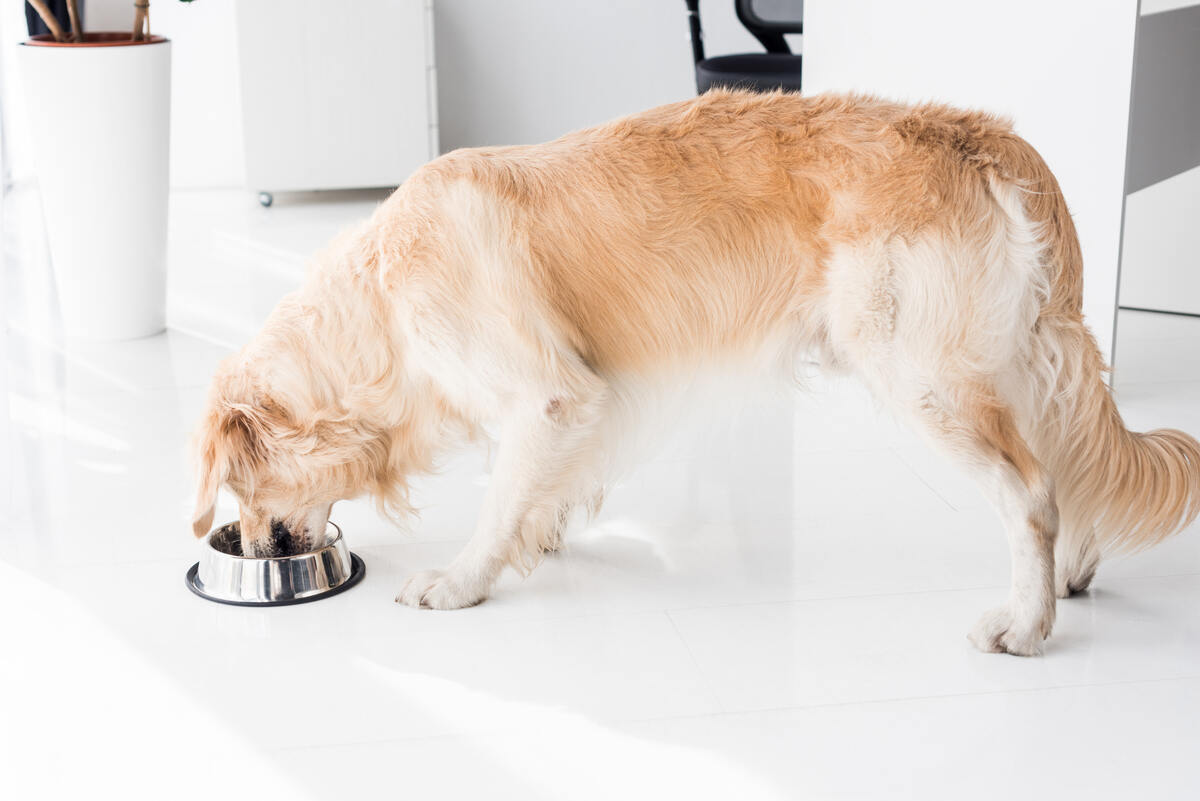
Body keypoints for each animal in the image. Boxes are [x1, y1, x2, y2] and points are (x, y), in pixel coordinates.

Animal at [189, 90, 1200, 652]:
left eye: (240, 489)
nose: (249, 549)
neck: (380, 304)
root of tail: (980, 133)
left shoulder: (545, 390)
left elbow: (500, 494)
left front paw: (463, 577)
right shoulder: (585, 396)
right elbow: (542, 483)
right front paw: (541, 532)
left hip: (923, 372)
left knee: (1031, 491)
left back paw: (1025, 625)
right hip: (1009, 358)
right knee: (1067, 471)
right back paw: (1072, 576)